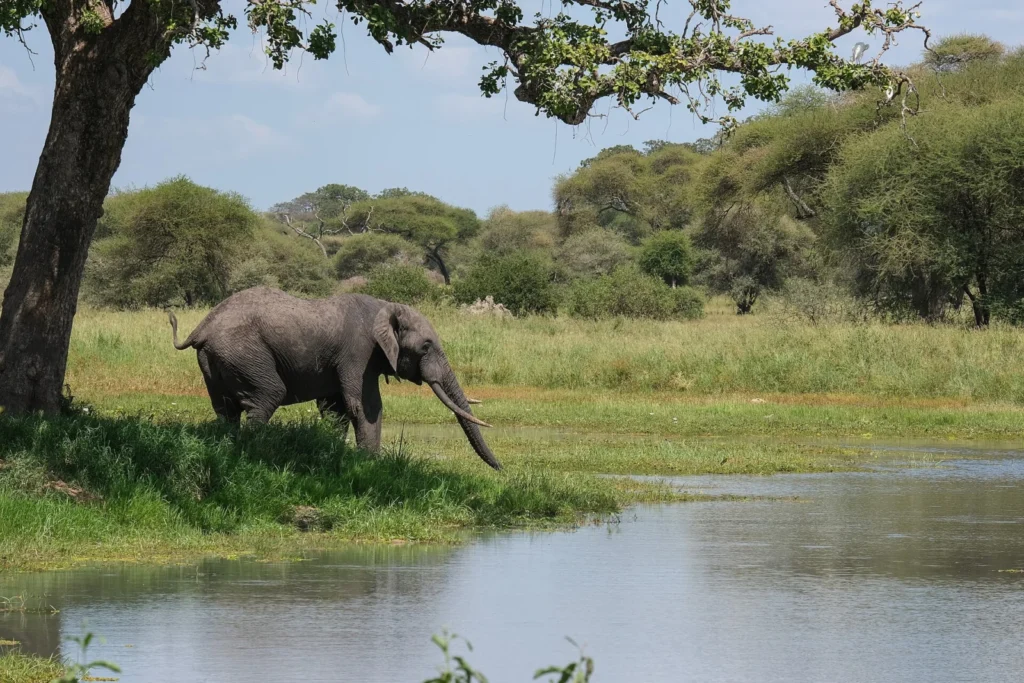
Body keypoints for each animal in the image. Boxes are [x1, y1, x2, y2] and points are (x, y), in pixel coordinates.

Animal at [166, 286, 501, 470]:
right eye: (426, 347)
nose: (501, 469)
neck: (385, 307)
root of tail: (202, 326)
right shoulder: (358, 352)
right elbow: (364, 406)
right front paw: (370, 464)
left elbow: (335, 409)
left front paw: (334, 453)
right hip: (243, 353)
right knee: (266, 397)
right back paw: (256, 450)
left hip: (215, 359)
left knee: (225, 409)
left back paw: (229, 445)